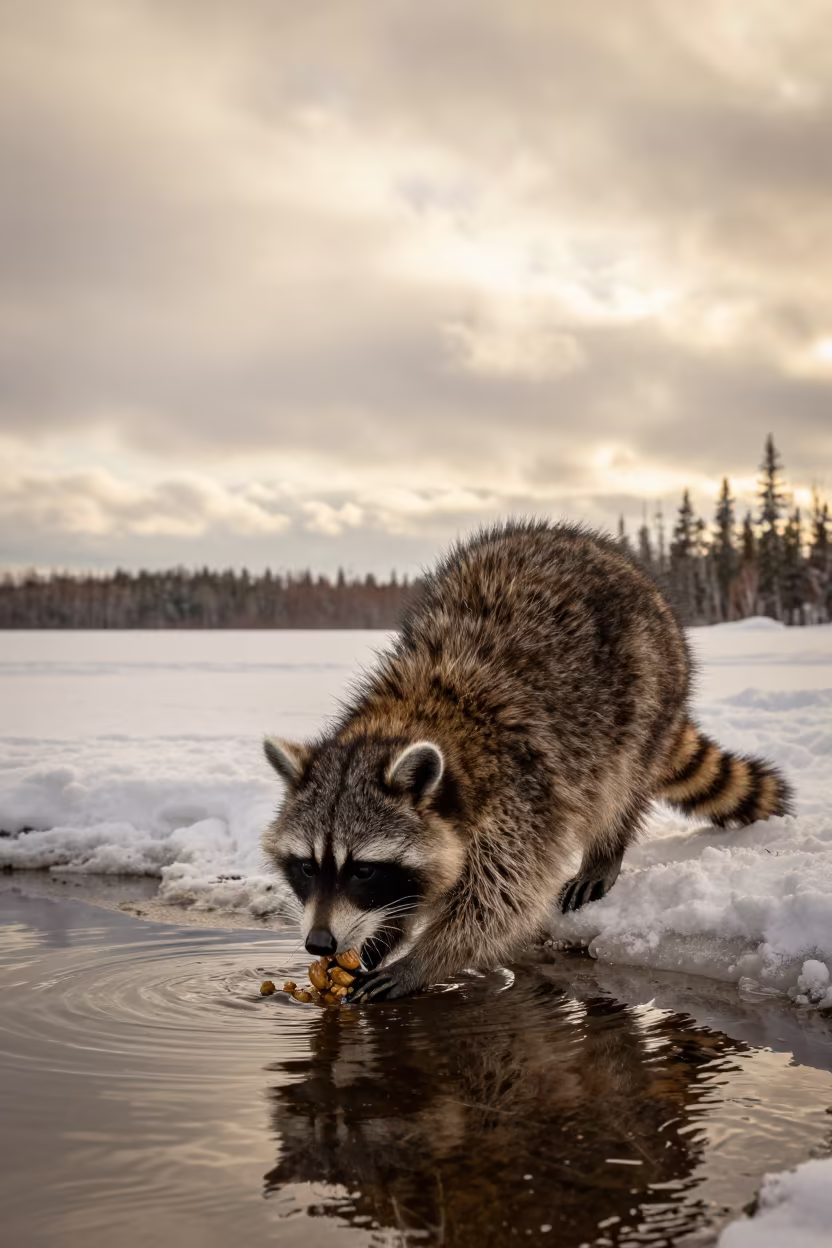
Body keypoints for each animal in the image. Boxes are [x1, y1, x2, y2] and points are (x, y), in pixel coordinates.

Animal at [262, 520, 793, 1001]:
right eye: (306, 867)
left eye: (363, 870)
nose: (319, 943)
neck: (404, 718)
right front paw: (378, 938)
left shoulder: (518, 797)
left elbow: (501, 902)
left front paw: (425, 960)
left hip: (646, 692)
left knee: (619, 785)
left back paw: (605, 849)